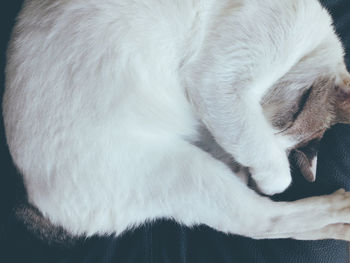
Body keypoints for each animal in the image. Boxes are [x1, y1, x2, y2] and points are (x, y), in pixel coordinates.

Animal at [3, 0, 350, 243]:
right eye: (294, 112)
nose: (246, 169)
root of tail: (31, 198)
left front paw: (244, 166)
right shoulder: (220, 83)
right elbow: (266, 158)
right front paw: (268, 174)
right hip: (187, 171)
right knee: (260, 220)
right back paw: (339, 213)